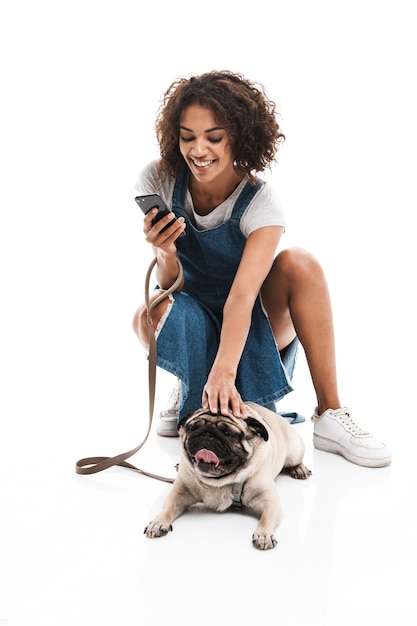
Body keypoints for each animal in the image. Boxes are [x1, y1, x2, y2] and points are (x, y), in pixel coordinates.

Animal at [143, 400, 308, 544]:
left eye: (228, 433)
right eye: (193, 428)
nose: (207, 434)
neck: (219, 482)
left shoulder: (270, 503)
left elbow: (266, 518)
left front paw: (264, 534)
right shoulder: (179, 492)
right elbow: (168, 508)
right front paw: (158, 522)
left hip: (294, 451)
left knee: (296, 460)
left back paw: (300, 469)